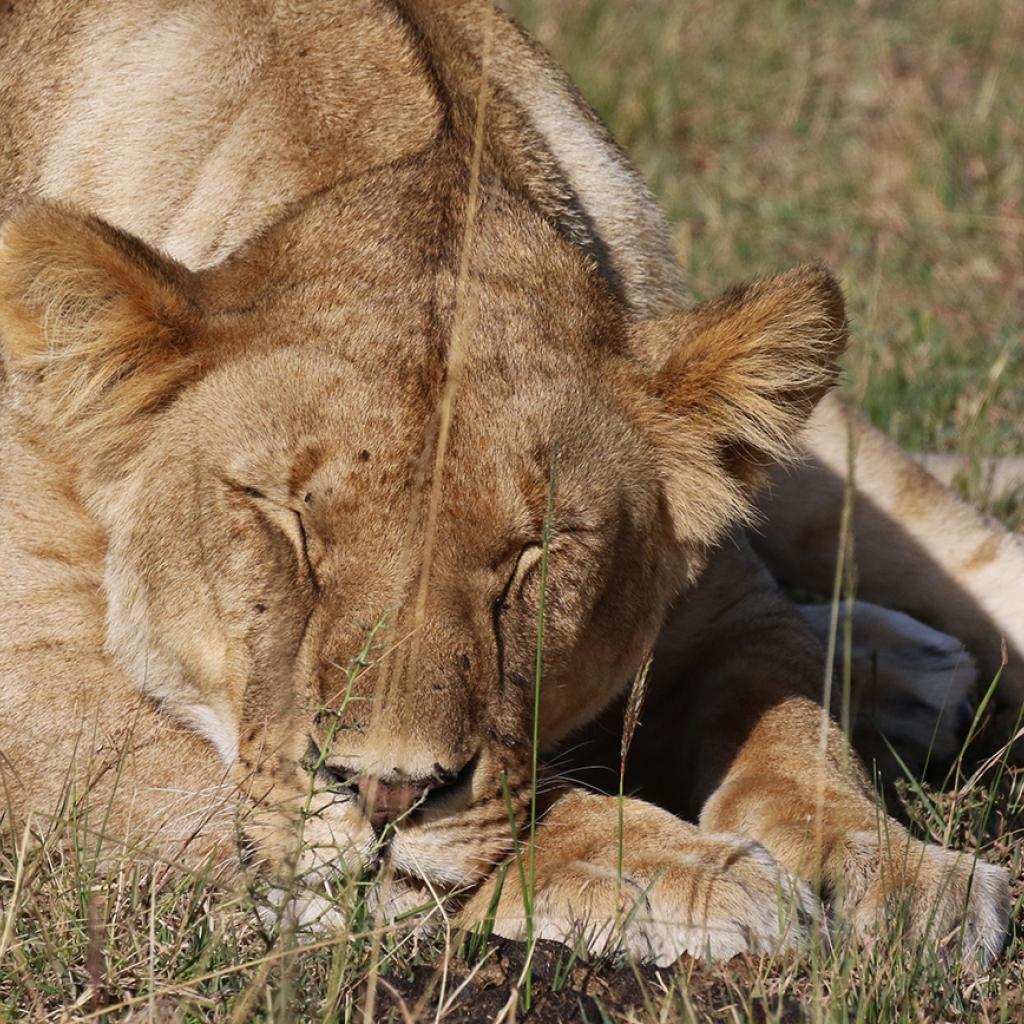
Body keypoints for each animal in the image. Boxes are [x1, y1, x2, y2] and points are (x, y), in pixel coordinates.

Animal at [0, 0, 1015, 966]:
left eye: (537, 552)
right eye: (290, 524)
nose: (388, 792)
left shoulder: (729, 608)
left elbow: (795, 732)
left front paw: (892, 869)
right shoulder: (42, 676)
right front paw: (663, 867)